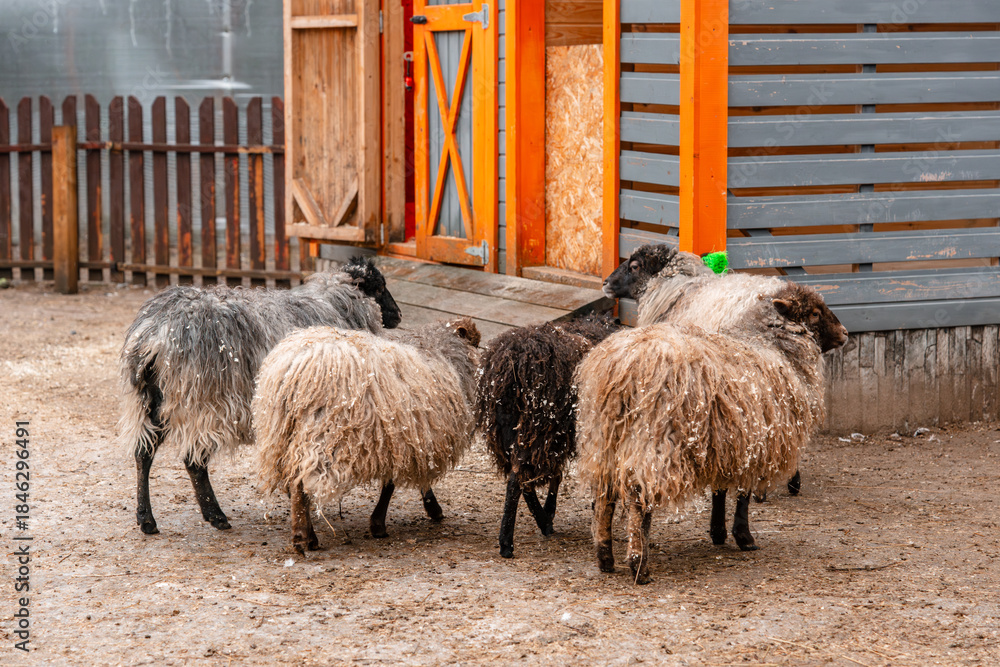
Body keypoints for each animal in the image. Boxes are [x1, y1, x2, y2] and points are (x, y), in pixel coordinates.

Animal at [119, 257, 401, 536]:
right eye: (379, 288)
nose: (398, 315)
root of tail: (154, 334)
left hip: (153, 401)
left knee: (143, 452)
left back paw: (146, 519)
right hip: (201, 403)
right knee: (193, 461)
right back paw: (215, 515)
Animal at [253, 317, 481, 555]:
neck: (442, 348)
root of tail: (296, 366)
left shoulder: (407, 441)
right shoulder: (410, 439)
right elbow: (393, 485)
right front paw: (382, 524)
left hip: (280, 435)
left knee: (293, 480)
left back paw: (305, 534)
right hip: (322, 433)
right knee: (300, 482)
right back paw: (303, 537)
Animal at [474, 315, 621, 558]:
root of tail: (513, 359)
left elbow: (556, 475)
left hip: (509, 429)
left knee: (523, 479)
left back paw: (542, 521)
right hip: (539, 427)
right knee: (517, 481)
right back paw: (508, 542)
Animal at [576, 282, 847, 584]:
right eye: (814, 313)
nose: (845, 333)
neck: (771, 344)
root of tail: (620, 370)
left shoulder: (727, 441)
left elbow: (719, 490)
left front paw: (717, 532)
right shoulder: (753, 443)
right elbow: (742, 495)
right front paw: (744, 537)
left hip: (604, 440)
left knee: (604, 497)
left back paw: (604, 557)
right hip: (652, 441)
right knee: (638, 500)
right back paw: (639, 565)